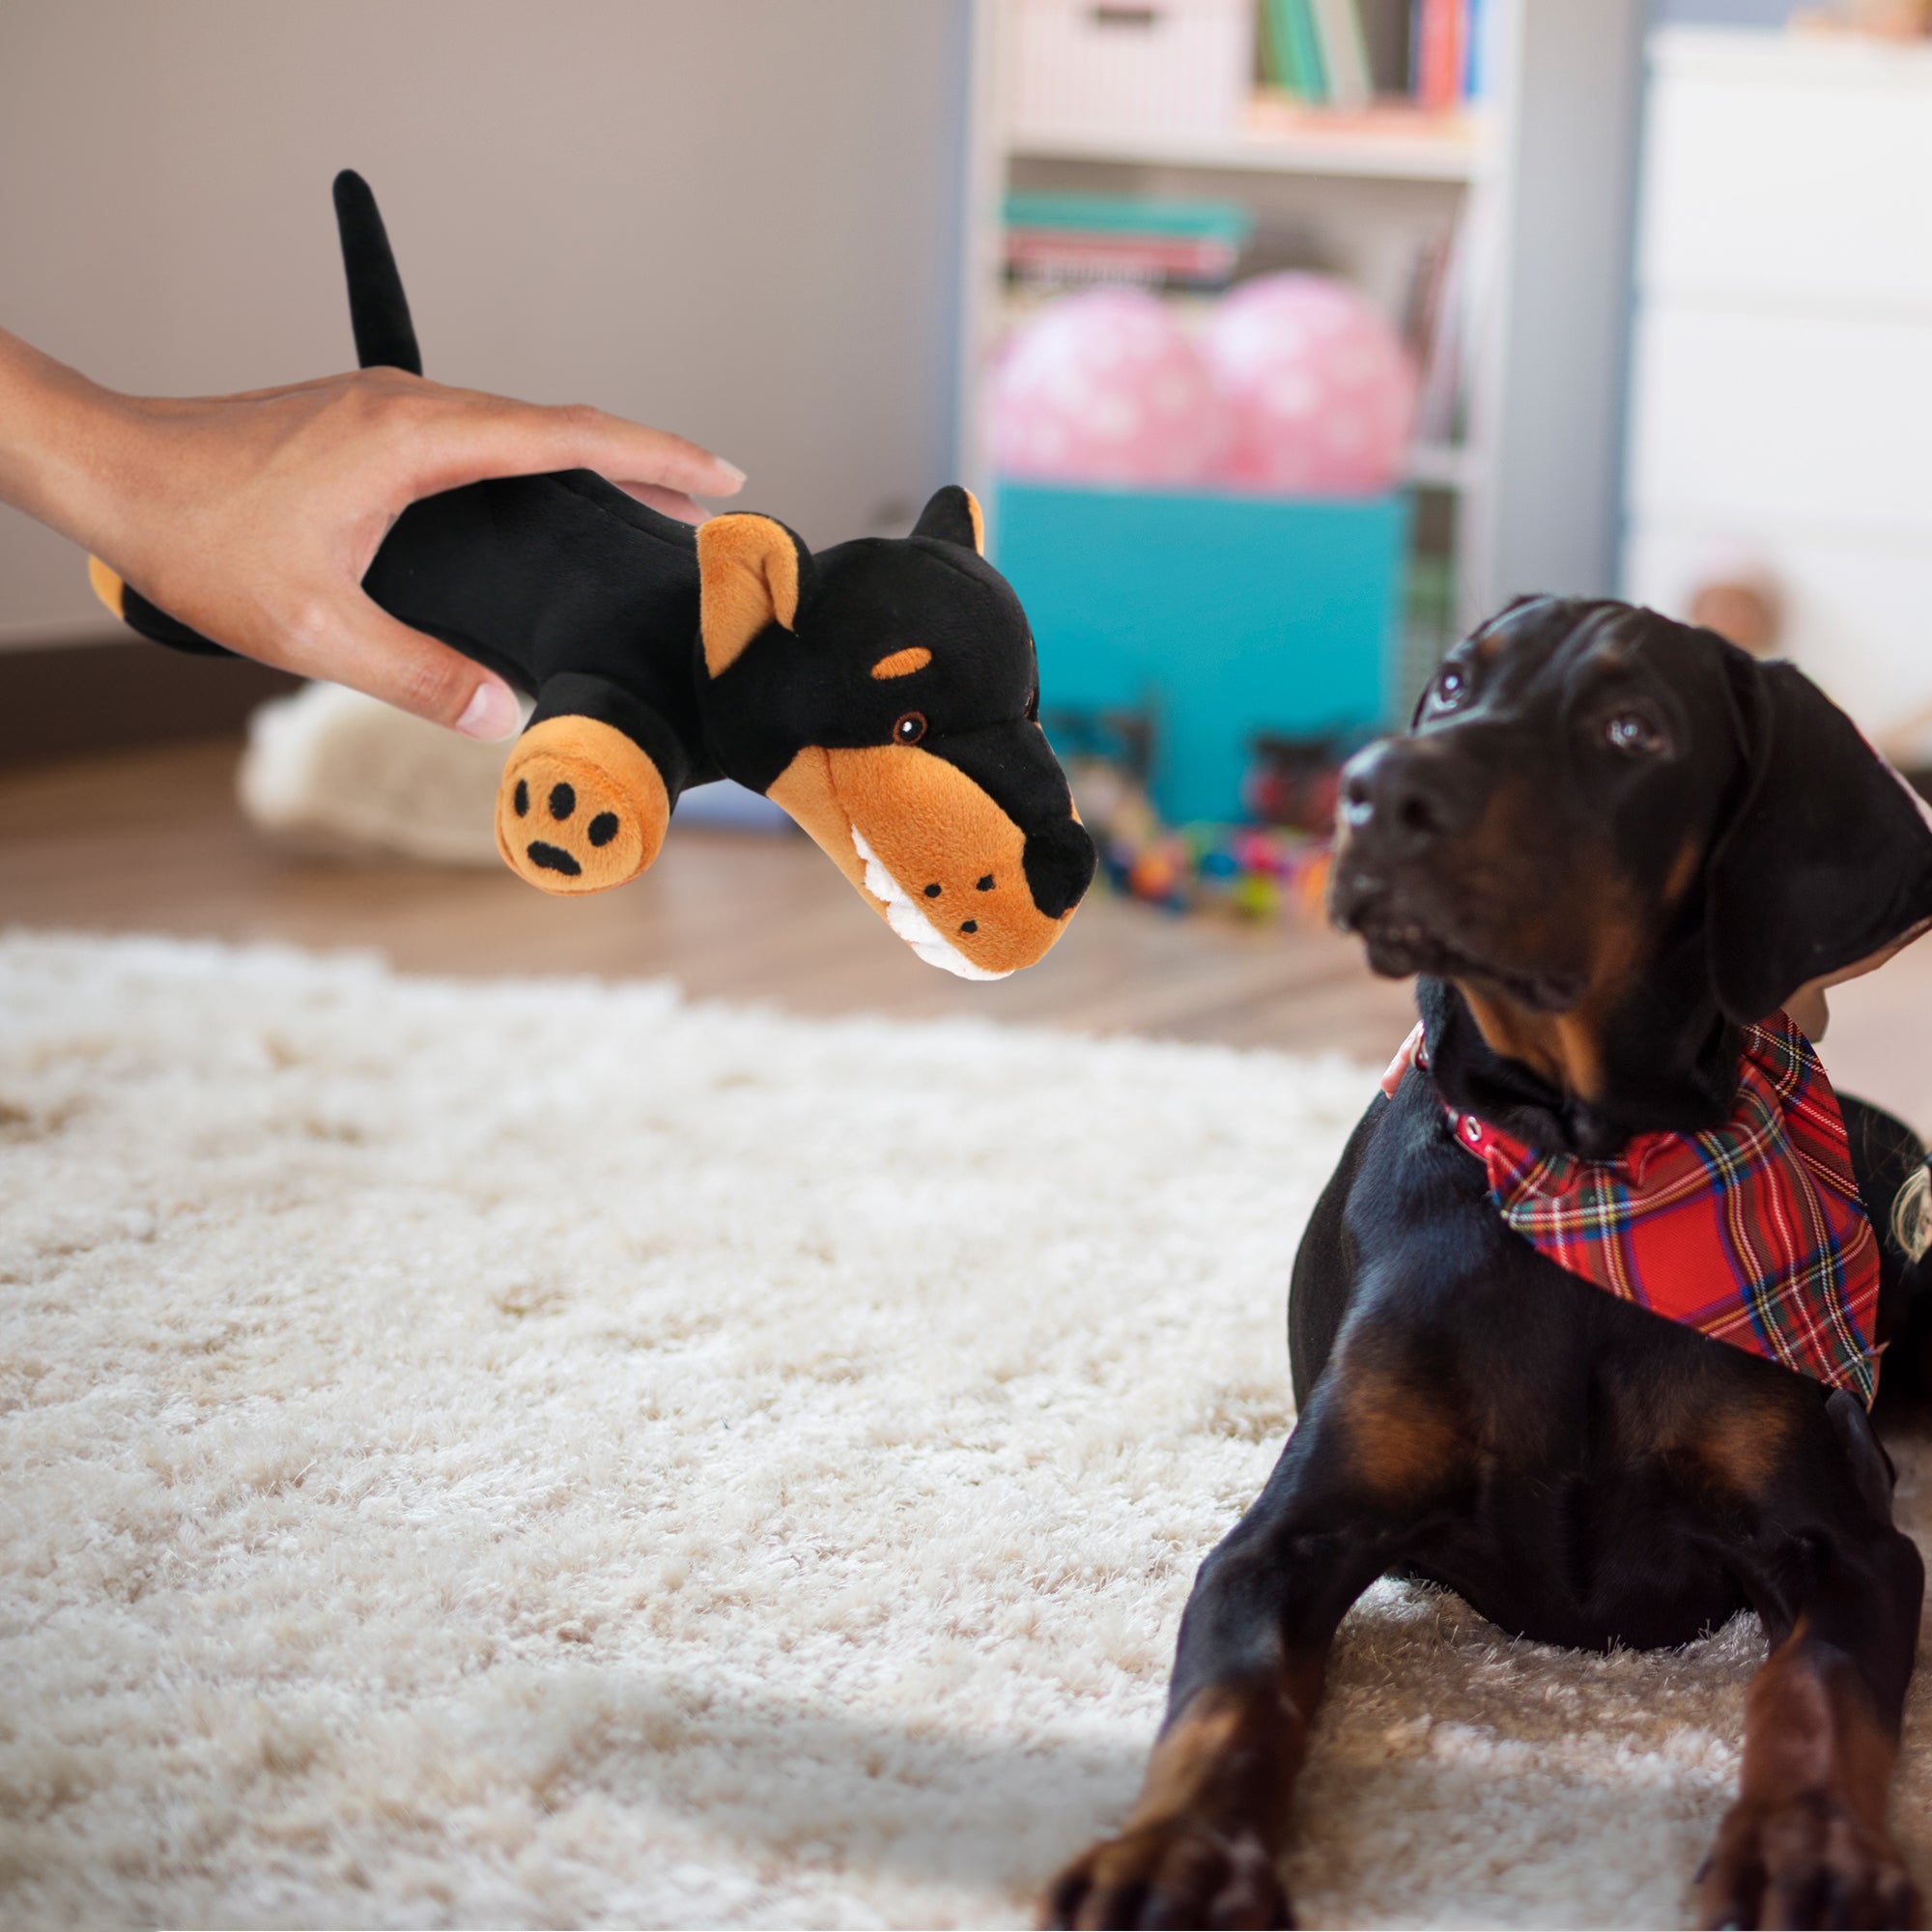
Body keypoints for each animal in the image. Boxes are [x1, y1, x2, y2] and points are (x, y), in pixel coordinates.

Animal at [1051, 595, 1932, 1924]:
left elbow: (1815, 1687)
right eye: (1456, 683)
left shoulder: (1849, 1546)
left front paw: (1804, 1843)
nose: (1372, 791)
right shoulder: (1287, 1535)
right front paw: (1177, 1850)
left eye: (1631, 729)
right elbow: (1229, 1692)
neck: (1579, 1168)